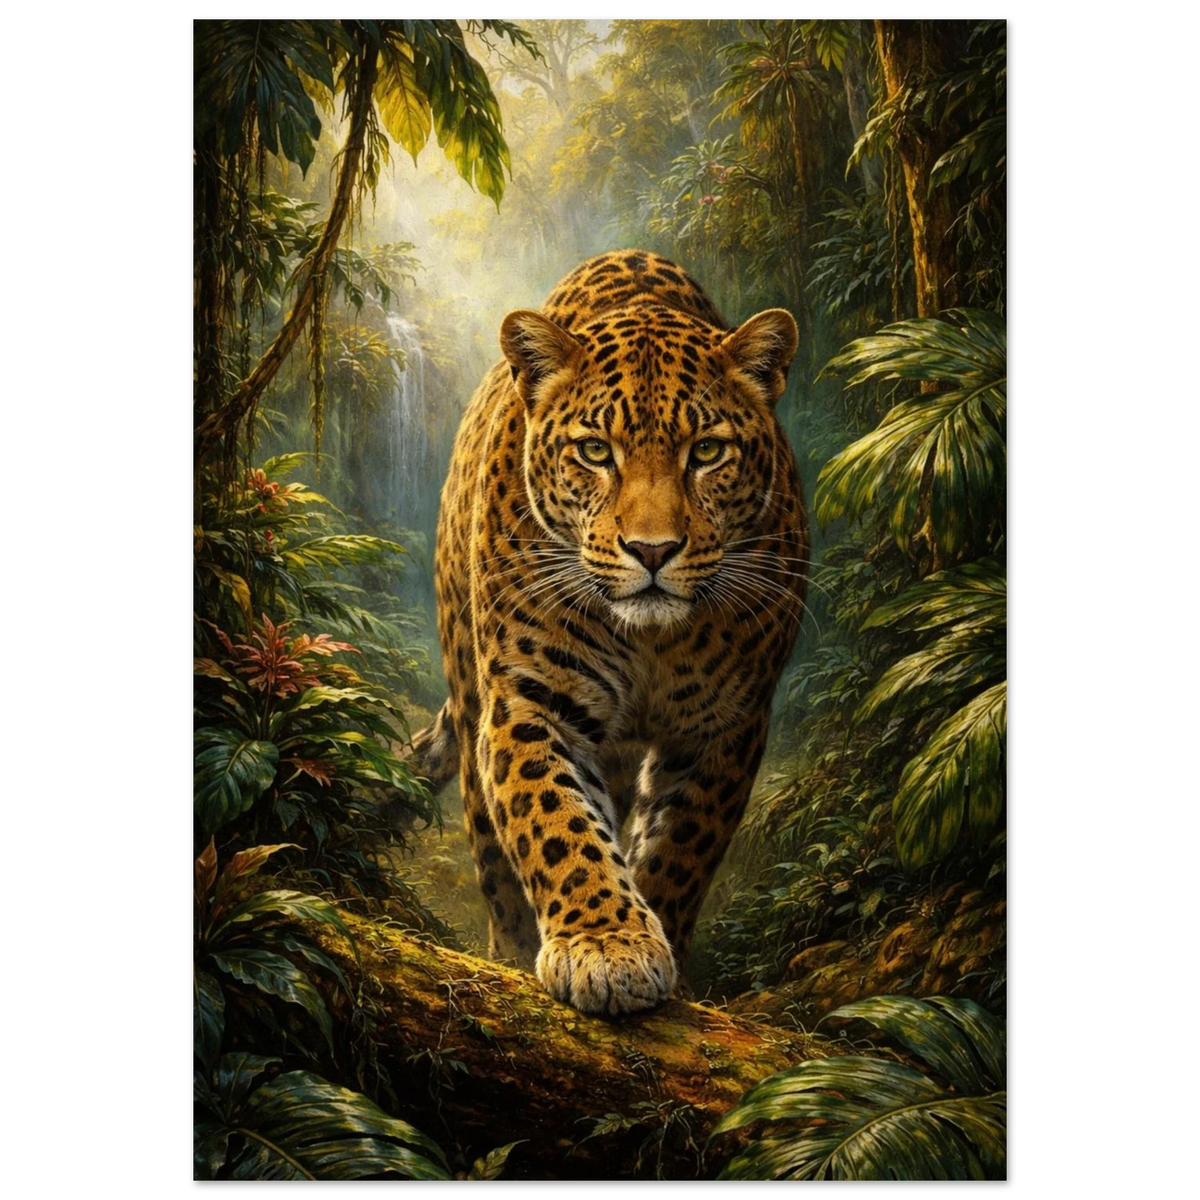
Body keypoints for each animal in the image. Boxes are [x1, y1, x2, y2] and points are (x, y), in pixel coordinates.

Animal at [411, 250, 808, 1016]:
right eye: (595, 451)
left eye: (707, 451)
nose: (652, 551)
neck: (650, 643)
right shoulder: (531, 701)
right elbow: (555, 825)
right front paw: (607, 944)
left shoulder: (727, 724)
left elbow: (681, 849)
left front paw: (654, 939)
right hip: (469, 688)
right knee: (492, 851)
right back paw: (511, 950)